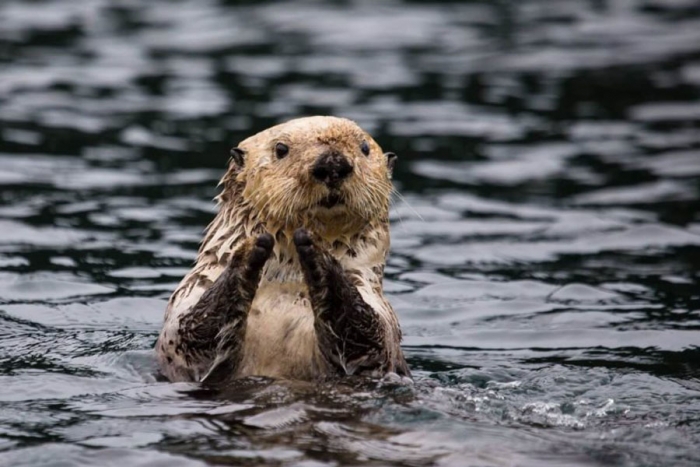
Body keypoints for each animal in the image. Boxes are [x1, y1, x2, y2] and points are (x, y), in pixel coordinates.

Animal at [157, 116, 410, 384]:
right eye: (280, 149)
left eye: (364, 148)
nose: (332, 163)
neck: (286, 281)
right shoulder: (187, 301)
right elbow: (193, 333)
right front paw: (250, 249)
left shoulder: (380, 313)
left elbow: (368, 337)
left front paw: (315, 249)